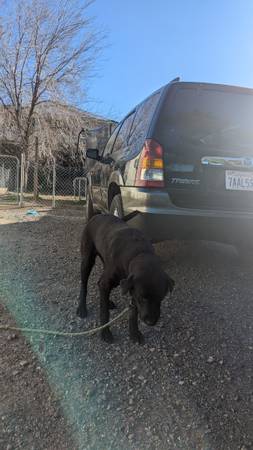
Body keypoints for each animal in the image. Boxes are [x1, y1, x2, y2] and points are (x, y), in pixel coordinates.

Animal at [76, 213, 174, 342]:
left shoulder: (131, 286)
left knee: (99, 283)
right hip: (87, 261)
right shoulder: (128, 287)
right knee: (84, 285)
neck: (138, 253)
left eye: (161, 298)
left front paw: (134, 334)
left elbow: (133, 312)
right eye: (142, 298)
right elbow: (104, 312)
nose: (151, 322)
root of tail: (97, 215)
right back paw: (82, 308)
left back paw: (108, 302)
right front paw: (105, 333)